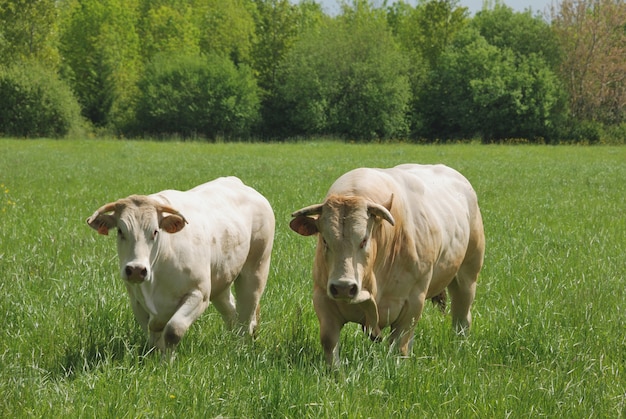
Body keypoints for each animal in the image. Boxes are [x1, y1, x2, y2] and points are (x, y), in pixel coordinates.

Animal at [85, 177, 272, 358]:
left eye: (155, 231)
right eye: (120, 231)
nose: (136, 270)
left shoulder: (198, 294)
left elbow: (173, 331)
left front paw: (168, 362)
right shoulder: (137, 301)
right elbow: (153, 336)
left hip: (255, 271)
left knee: (246, 318)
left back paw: (241, 349)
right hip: (221, 281)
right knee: (232, 313)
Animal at [288, 164, 482, 368]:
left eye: (364, 240)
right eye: (325, 240)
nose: (343, 287)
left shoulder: (413, 301)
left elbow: (399, 346)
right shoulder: (322, 298)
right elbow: (329, 342)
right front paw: (336, 373)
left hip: (467, 276)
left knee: (462, 318)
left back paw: (460, 346)